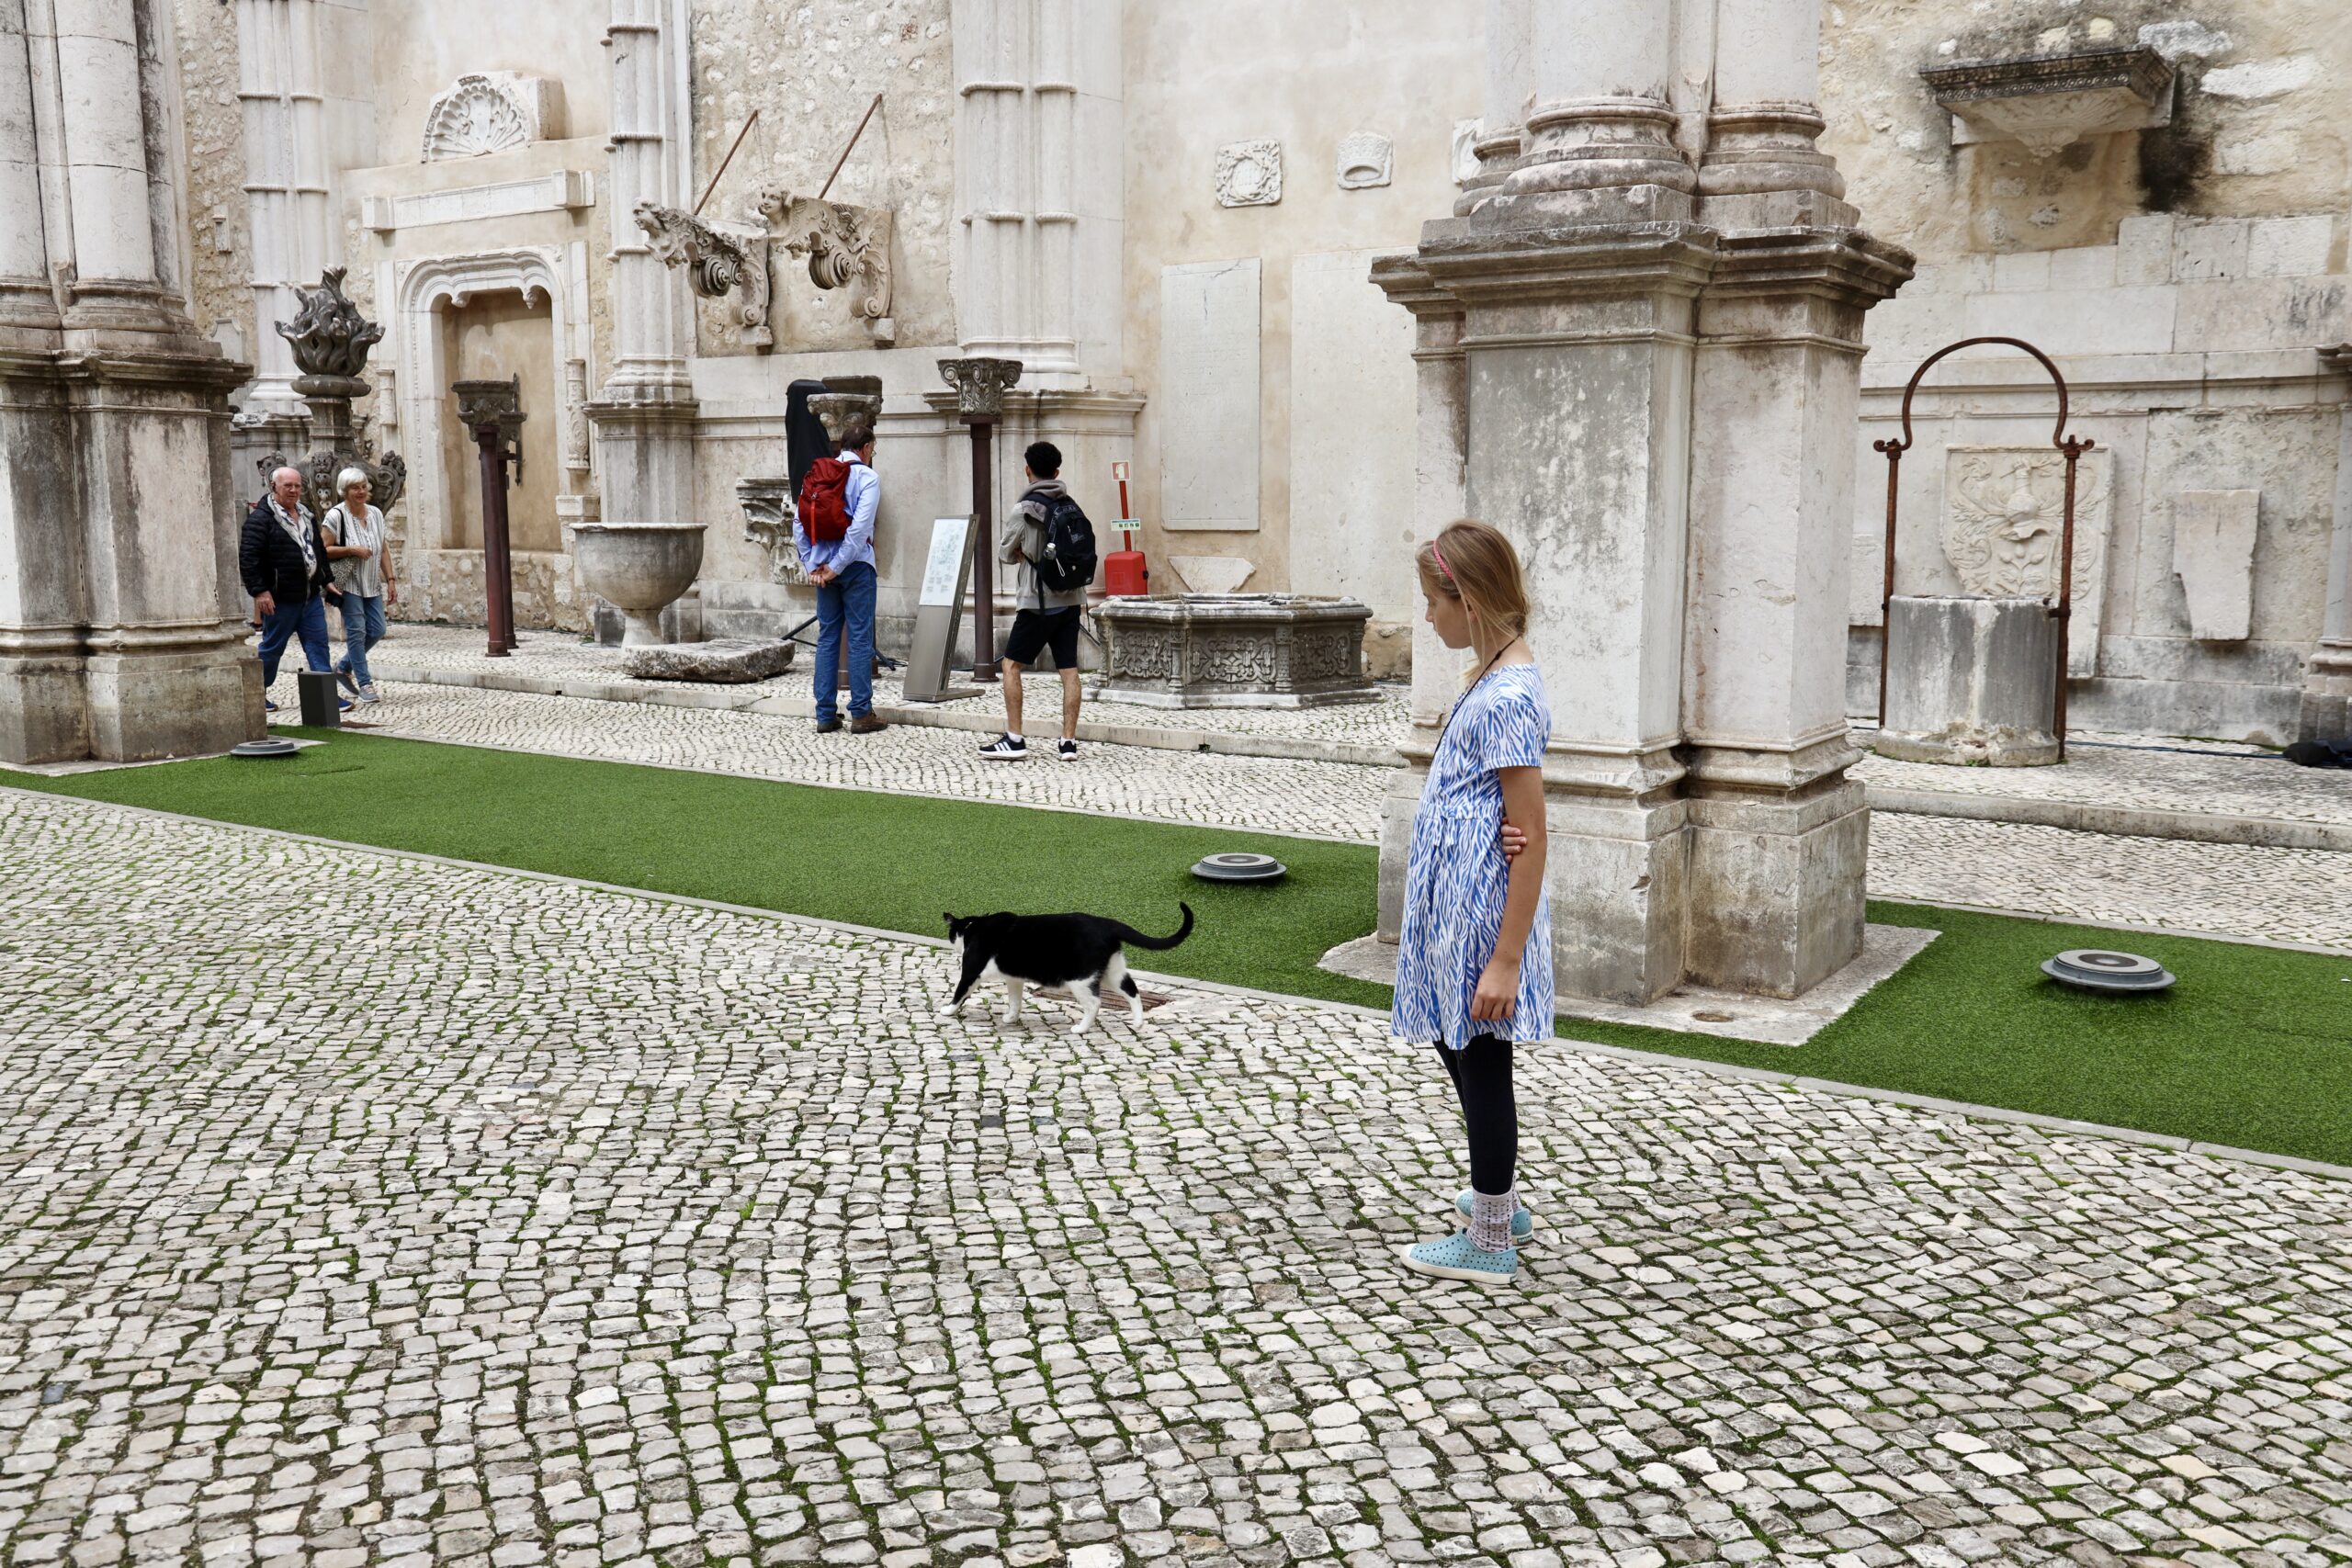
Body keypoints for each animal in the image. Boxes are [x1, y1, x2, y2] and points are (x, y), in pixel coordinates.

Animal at [935, 902, 1194, 1034]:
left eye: (951, 935)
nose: (953, 941)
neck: (972, 927)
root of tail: (1107, 924)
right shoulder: (1014, 978)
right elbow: (1015, 1000)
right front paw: (1010, 1017)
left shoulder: (971, 970)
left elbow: (960, 992)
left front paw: (947, 1011)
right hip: (1113, 971)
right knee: (1132, 990)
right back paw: (1138, 1022)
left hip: (1080, 978)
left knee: (1095, 1002)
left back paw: (1080, 1029)